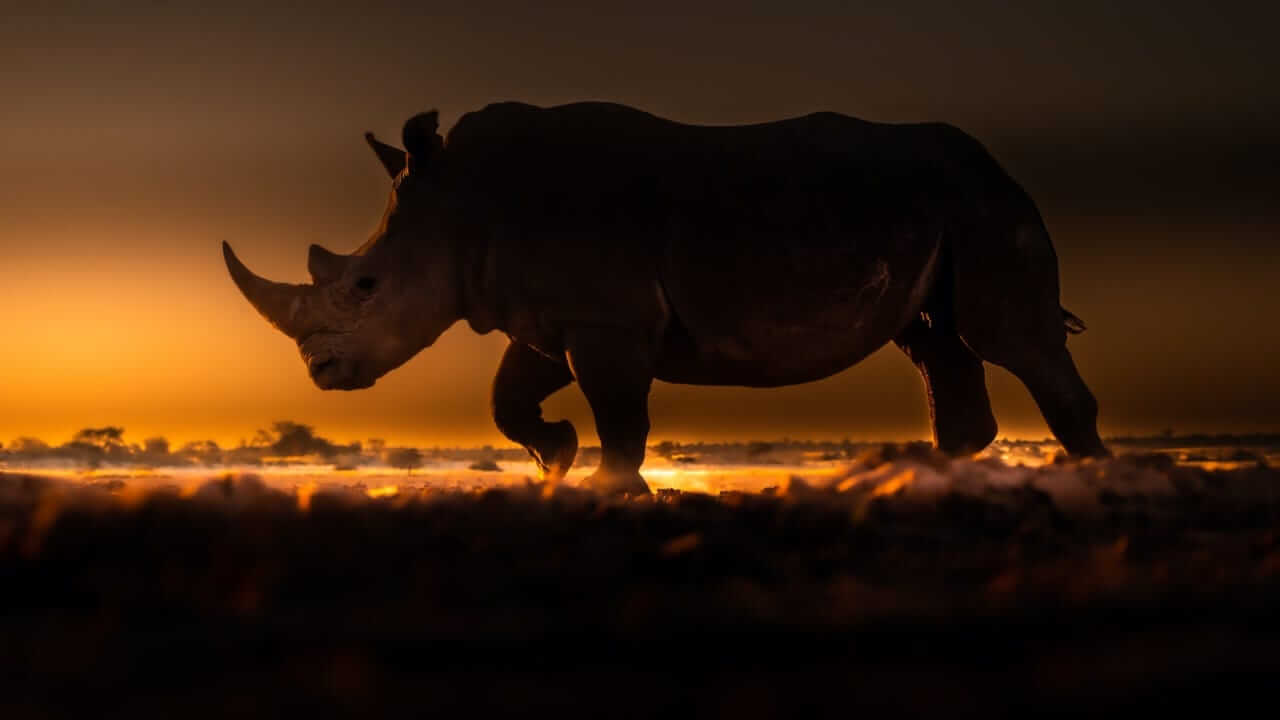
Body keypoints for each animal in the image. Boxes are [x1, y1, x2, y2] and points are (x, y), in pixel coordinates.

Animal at [224, 101, 1107, 495]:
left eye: (365, 287)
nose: (321, 372)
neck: (458, 208)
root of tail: (999, 166)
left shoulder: (607, 319)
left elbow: (621, 417)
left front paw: (614, 489)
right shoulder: (555, 316)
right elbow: (509, 399)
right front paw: (556, 458)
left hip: (985, 206)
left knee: (1007, 337)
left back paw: (1090, 474)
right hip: (942, 208)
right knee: (936, 342)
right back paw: (930, 480)